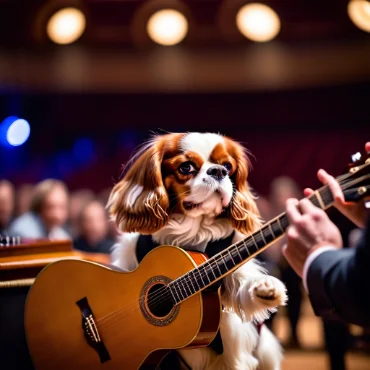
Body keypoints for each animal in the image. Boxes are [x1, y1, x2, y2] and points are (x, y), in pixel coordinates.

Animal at [108, 133, 288, 370]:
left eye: (227, 166)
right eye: (186, 167)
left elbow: (243, 288)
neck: (191, 234)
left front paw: (264, 287)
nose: (218, 171)